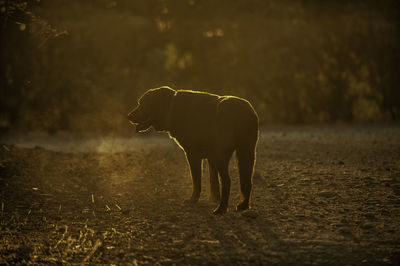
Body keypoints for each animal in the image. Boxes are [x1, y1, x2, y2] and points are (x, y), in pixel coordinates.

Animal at [128, 86, 260, 215]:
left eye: (142, 103)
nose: (128, 116)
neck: (171, 107)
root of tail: (244, 113)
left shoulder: (193, 155)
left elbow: (197, 181)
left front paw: (193, 200)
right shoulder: (211, 158)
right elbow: (213, 181)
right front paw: (213, 199)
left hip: (223, 155)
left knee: (227, 181)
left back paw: (221, 209)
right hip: (247, 153)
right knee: (247, 181)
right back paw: (243, 205)